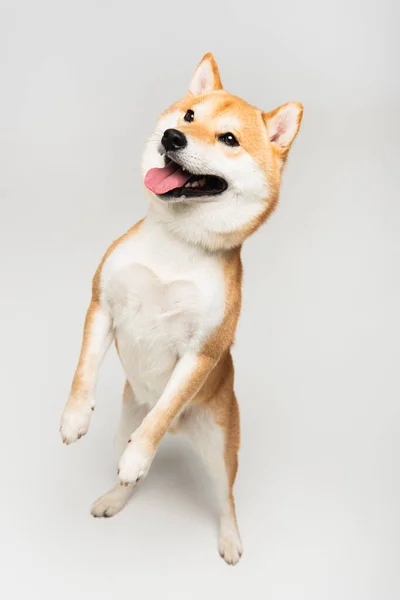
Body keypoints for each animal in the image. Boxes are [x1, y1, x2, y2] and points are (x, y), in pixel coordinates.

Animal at [59, 51, 304, 564]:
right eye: (189, 116)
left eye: (229, 139)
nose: (173, 137)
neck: (175, 242)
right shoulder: (102, 305)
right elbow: (83, 371)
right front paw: (74, 418)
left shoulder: (200, 354)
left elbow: (162, 413)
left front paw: (140, 453)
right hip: (124, 422)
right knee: (129, 470)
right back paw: (114, 498)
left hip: (220, 448)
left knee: (224, 496)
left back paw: (229, 538)